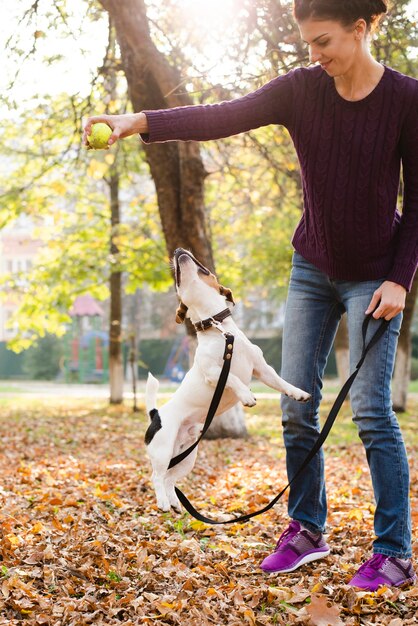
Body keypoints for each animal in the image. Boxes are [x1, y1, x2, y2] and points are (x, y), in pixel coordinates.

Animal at [145, 249, 310, 512]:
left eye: (205, 269)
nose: (180, 250)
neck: (220, 330)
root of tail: (156, 414)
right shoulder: (213, 372)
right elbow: (232, 377)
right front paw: (246, 395)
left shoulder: (262, 369)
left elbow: (280, 382)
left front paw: (297, 393)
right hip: (163, 450)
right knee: (157, 476)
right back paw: (162, 501)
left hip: (186, 456)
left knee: (170, 479)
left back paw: (174, 503)